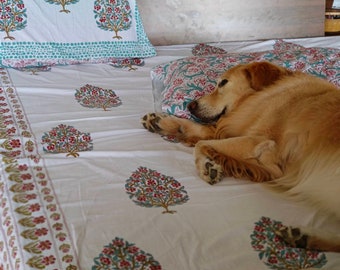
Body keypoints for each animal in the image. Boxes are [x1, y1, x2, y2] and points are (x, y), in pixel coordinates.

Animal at [141, 61, 340, 253]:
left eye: (223, 83)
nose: (190, 106)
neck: (263, 94)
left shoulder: (258, 142)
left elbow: (201, 144)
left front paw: (207, 165)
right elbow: (200, 132)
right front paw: (162, 121)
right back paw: (303, 237)